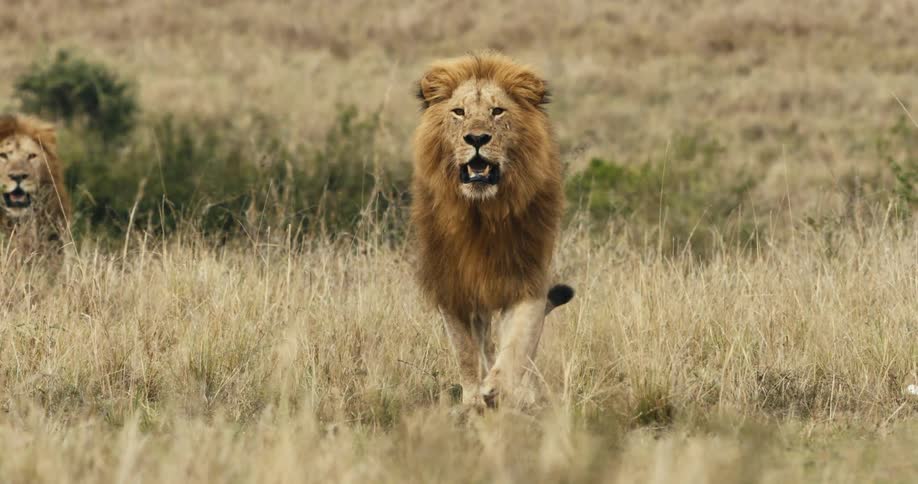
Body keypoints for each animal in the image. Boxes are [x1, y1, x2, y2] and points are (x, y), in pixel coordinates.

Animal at [411, 52, 574, 410]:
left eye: (497, 111)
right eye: (458, 112)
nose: (476, 139)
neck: (482, 215)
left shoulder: (527, 277)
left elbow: (518, 343)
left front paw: (500, 388)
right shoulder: (453, 287)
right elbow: (466, 351)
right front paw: (474, 397)